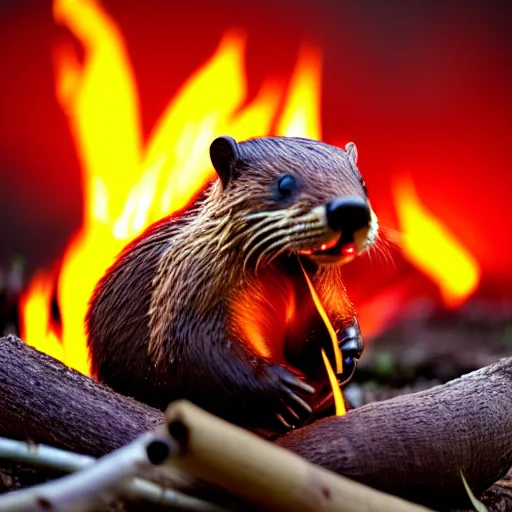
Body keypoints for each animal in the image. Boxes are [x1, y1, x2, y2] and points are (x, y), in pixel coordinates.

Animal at [86, 136, 378, 432]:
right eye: (284, 183)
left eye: (363, 182)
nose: (350, 210)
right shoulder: (187, 303)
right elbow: (203, 355)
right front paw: (283, 390)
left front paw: (348, 346)